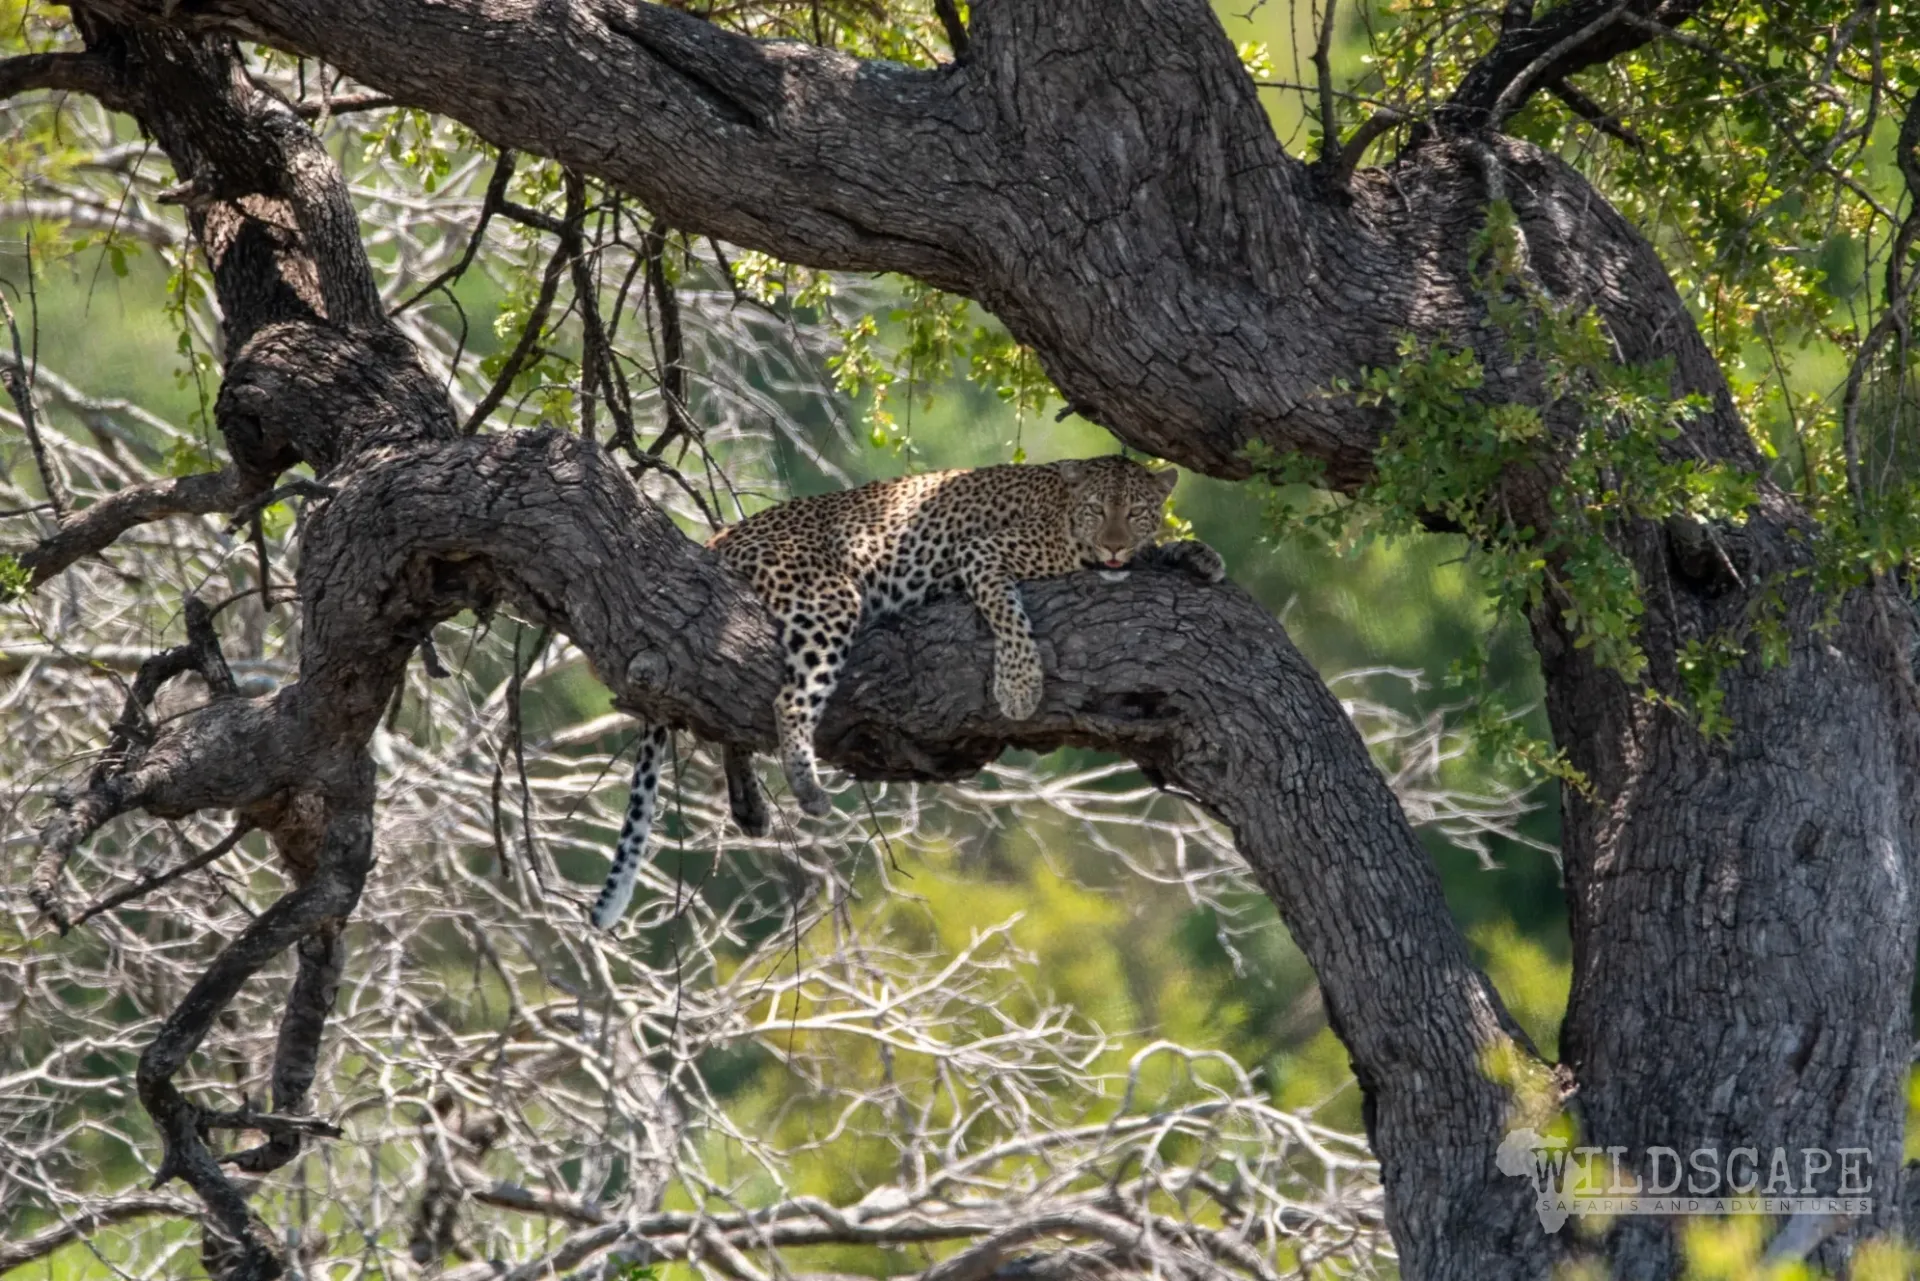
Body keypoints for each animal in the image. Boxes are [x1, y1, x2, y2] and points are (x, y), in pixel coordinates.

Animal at [589, 455, 1225, 929]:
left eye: (1137, 512)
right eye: (1096, 511)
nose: (1115, 547)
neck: (1069, 522)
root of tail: (720, 537)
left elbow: (1160, 551)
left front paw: (1196, 554)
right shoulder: (983, 555)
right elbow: (1010, 613)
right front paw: (1019, 685)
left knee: (728, 710)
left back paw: (748, 805)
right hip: (829, 597)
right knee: (782, 700)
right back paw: (806, 787)